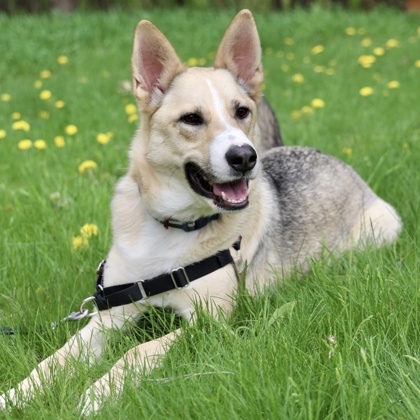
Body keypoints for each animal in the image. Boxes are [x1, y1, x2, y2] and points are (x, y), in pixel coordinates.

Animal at [0, 9, 402, 414]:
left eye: (242, 112)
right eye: (191, 119)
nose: (245, 157)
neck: (174, 228)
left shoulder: (207, 321)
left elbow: (139, 350)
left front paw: (98, 393)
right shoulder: (109, 314)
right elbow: (54, 360)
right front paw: (16, 395)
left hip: (380, 231)